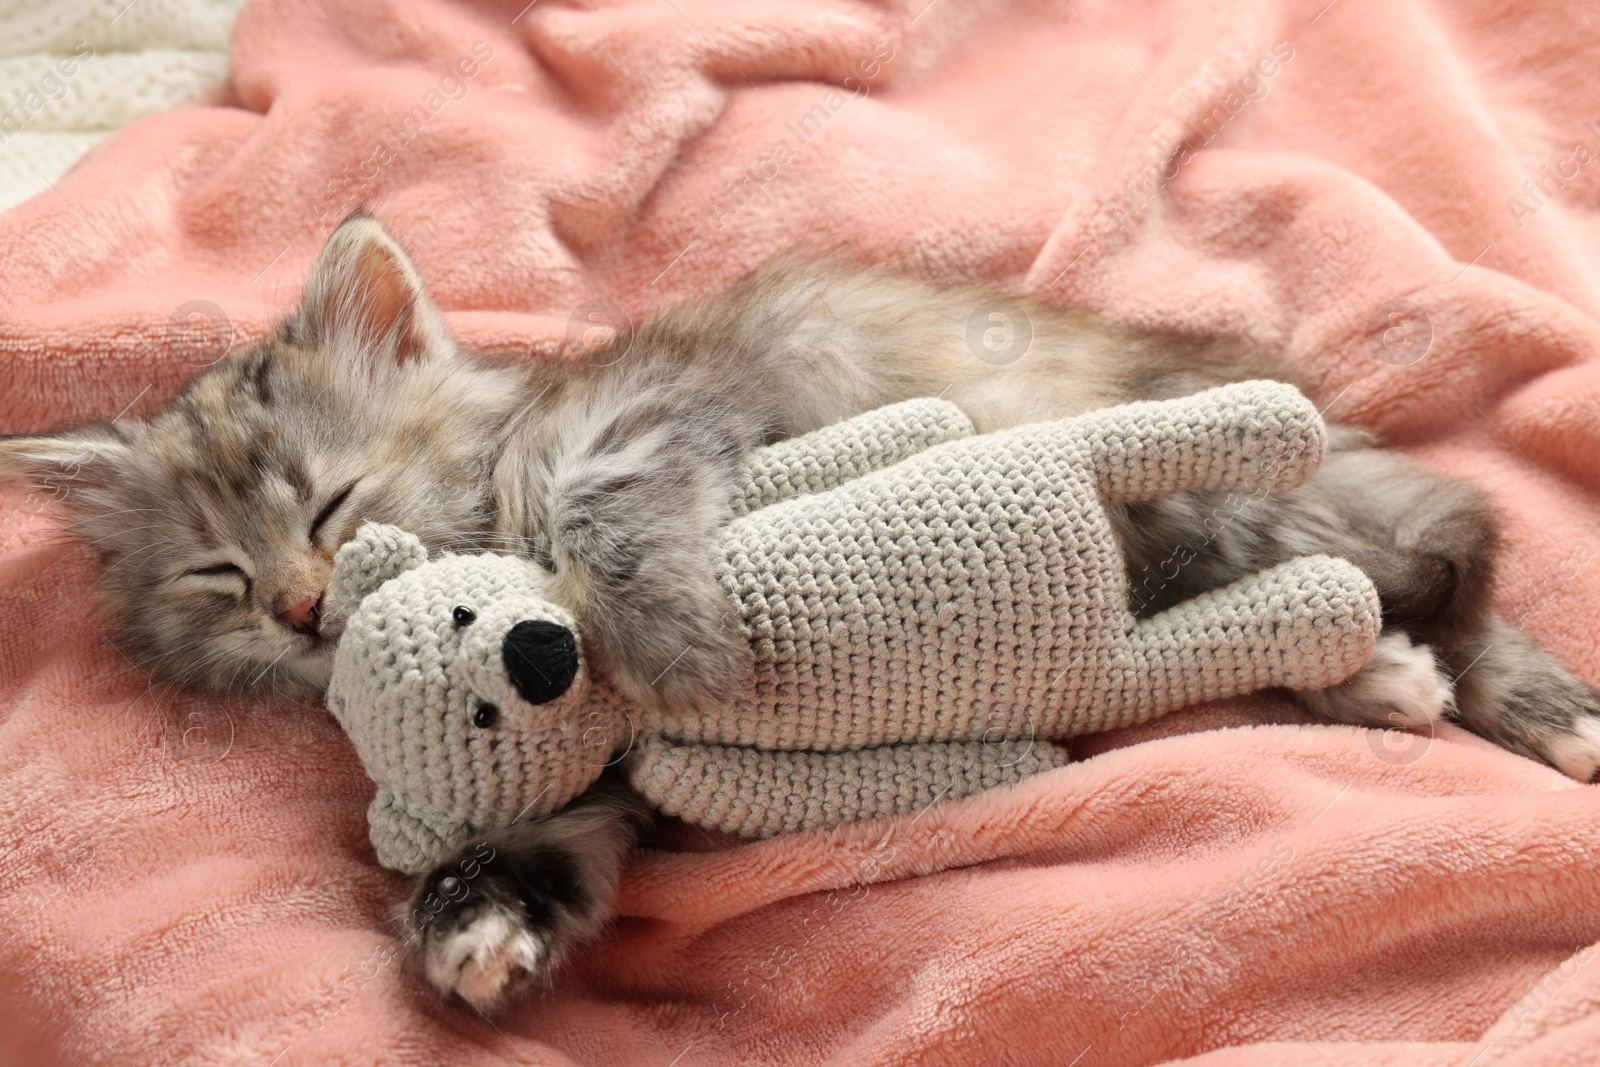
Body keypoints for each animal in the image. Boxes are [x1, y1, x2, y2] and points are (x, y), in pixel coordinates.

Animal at [3, 212, 1600, 1017]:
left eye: (334, 504)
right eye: (218, 577)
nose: (300, 604)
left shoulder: (651, 411)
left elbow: (605, 519)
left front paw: (681, 646)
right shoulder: (571, 768)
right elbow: (545, 833)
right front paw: (474, 918)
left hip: (1218, 483)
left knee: (1452, 546)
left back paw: (1457, 681)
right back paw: (1400, 679)